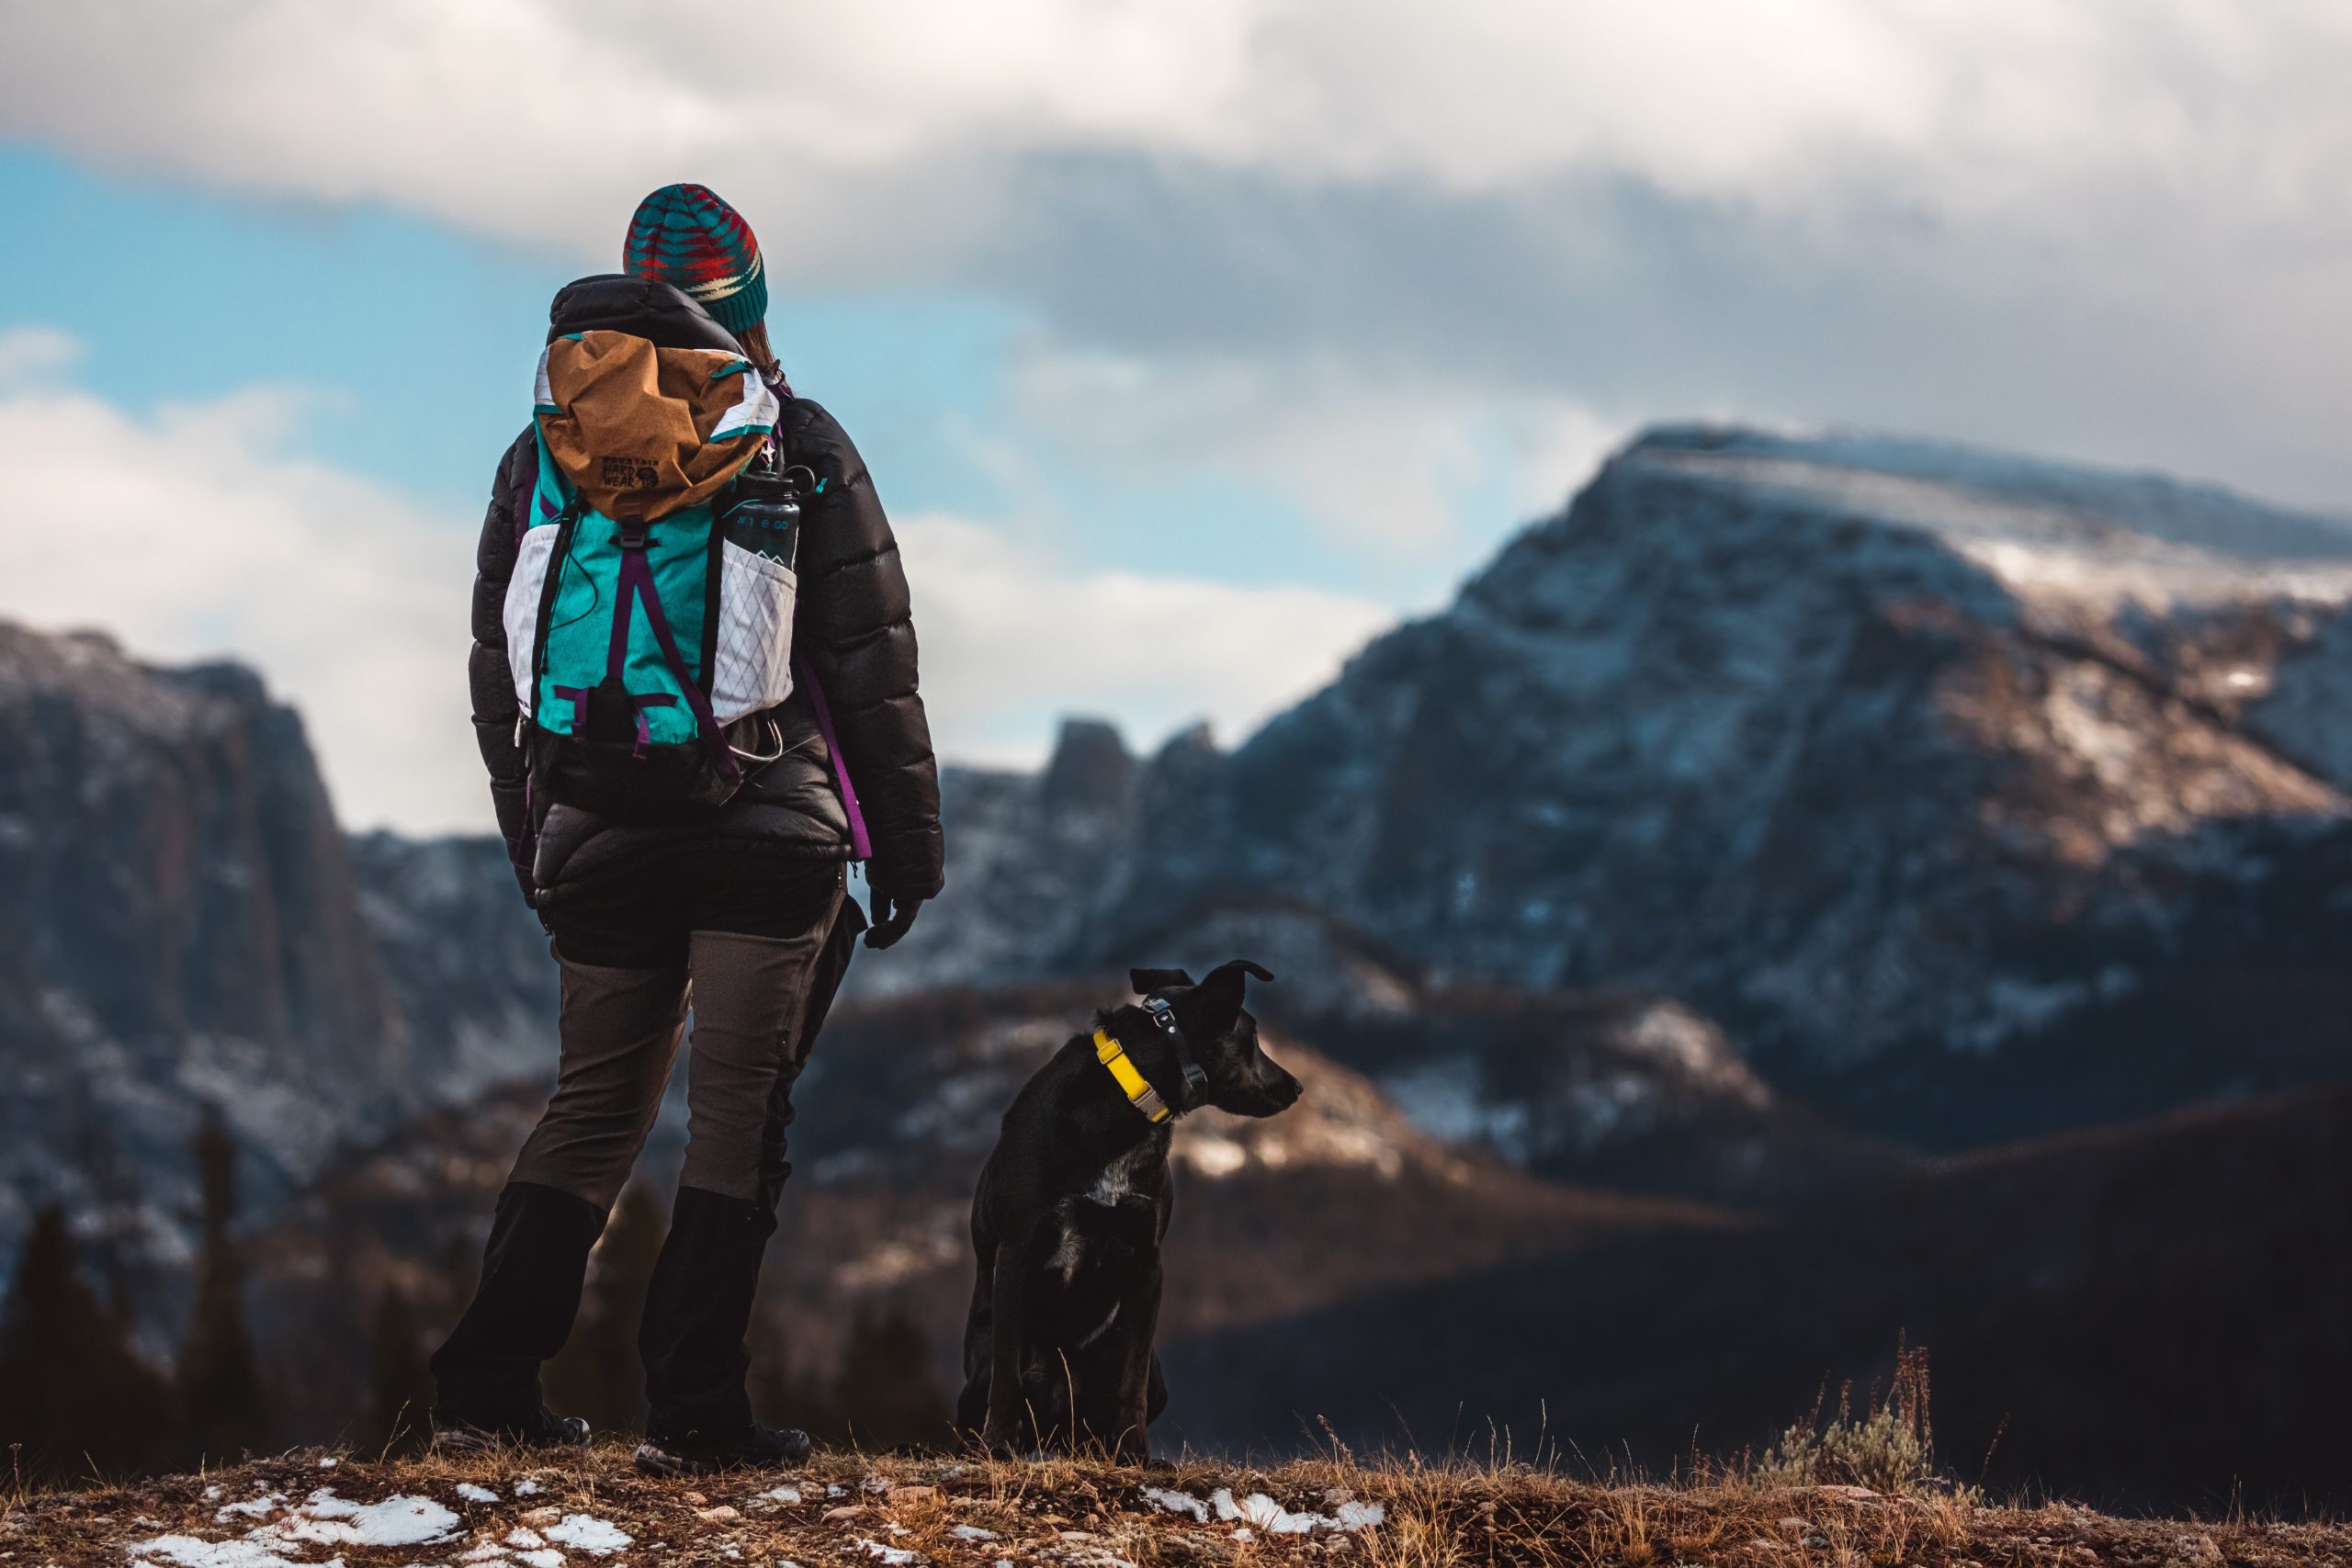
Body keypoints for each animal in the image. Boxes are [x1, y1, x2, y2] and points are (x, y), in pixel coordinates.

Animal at [950, 964, 1298, 1466]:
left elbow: (1129, 1383)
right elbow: (1007, 1376)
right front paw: (997, 1445)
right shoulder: (1017, 1252)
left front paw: (1134, 1452)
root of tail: (1056, 1434)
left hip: (1153, 1377)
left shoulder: (1146, 1261)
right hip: (982, 1374)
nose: (1296, 1086)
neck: (1124, 1104)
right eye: (1251, 1037)